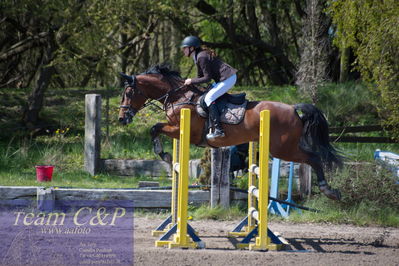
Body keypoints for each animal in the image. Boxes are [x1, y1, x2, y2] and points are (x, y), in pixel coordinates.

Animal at [118, 64, 344, 200]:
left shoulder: (183, 131)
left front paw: (163, 153)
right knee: (312, 157)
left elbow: (155, 127)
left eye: (128, 93)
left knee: (314, 158)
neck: (178, 97)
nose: (122, 118)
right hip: (284, 147)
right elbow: (155, 128)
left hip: (283, 149)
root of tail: (293, 108)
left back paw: (329, 190)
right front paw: (163, 154)